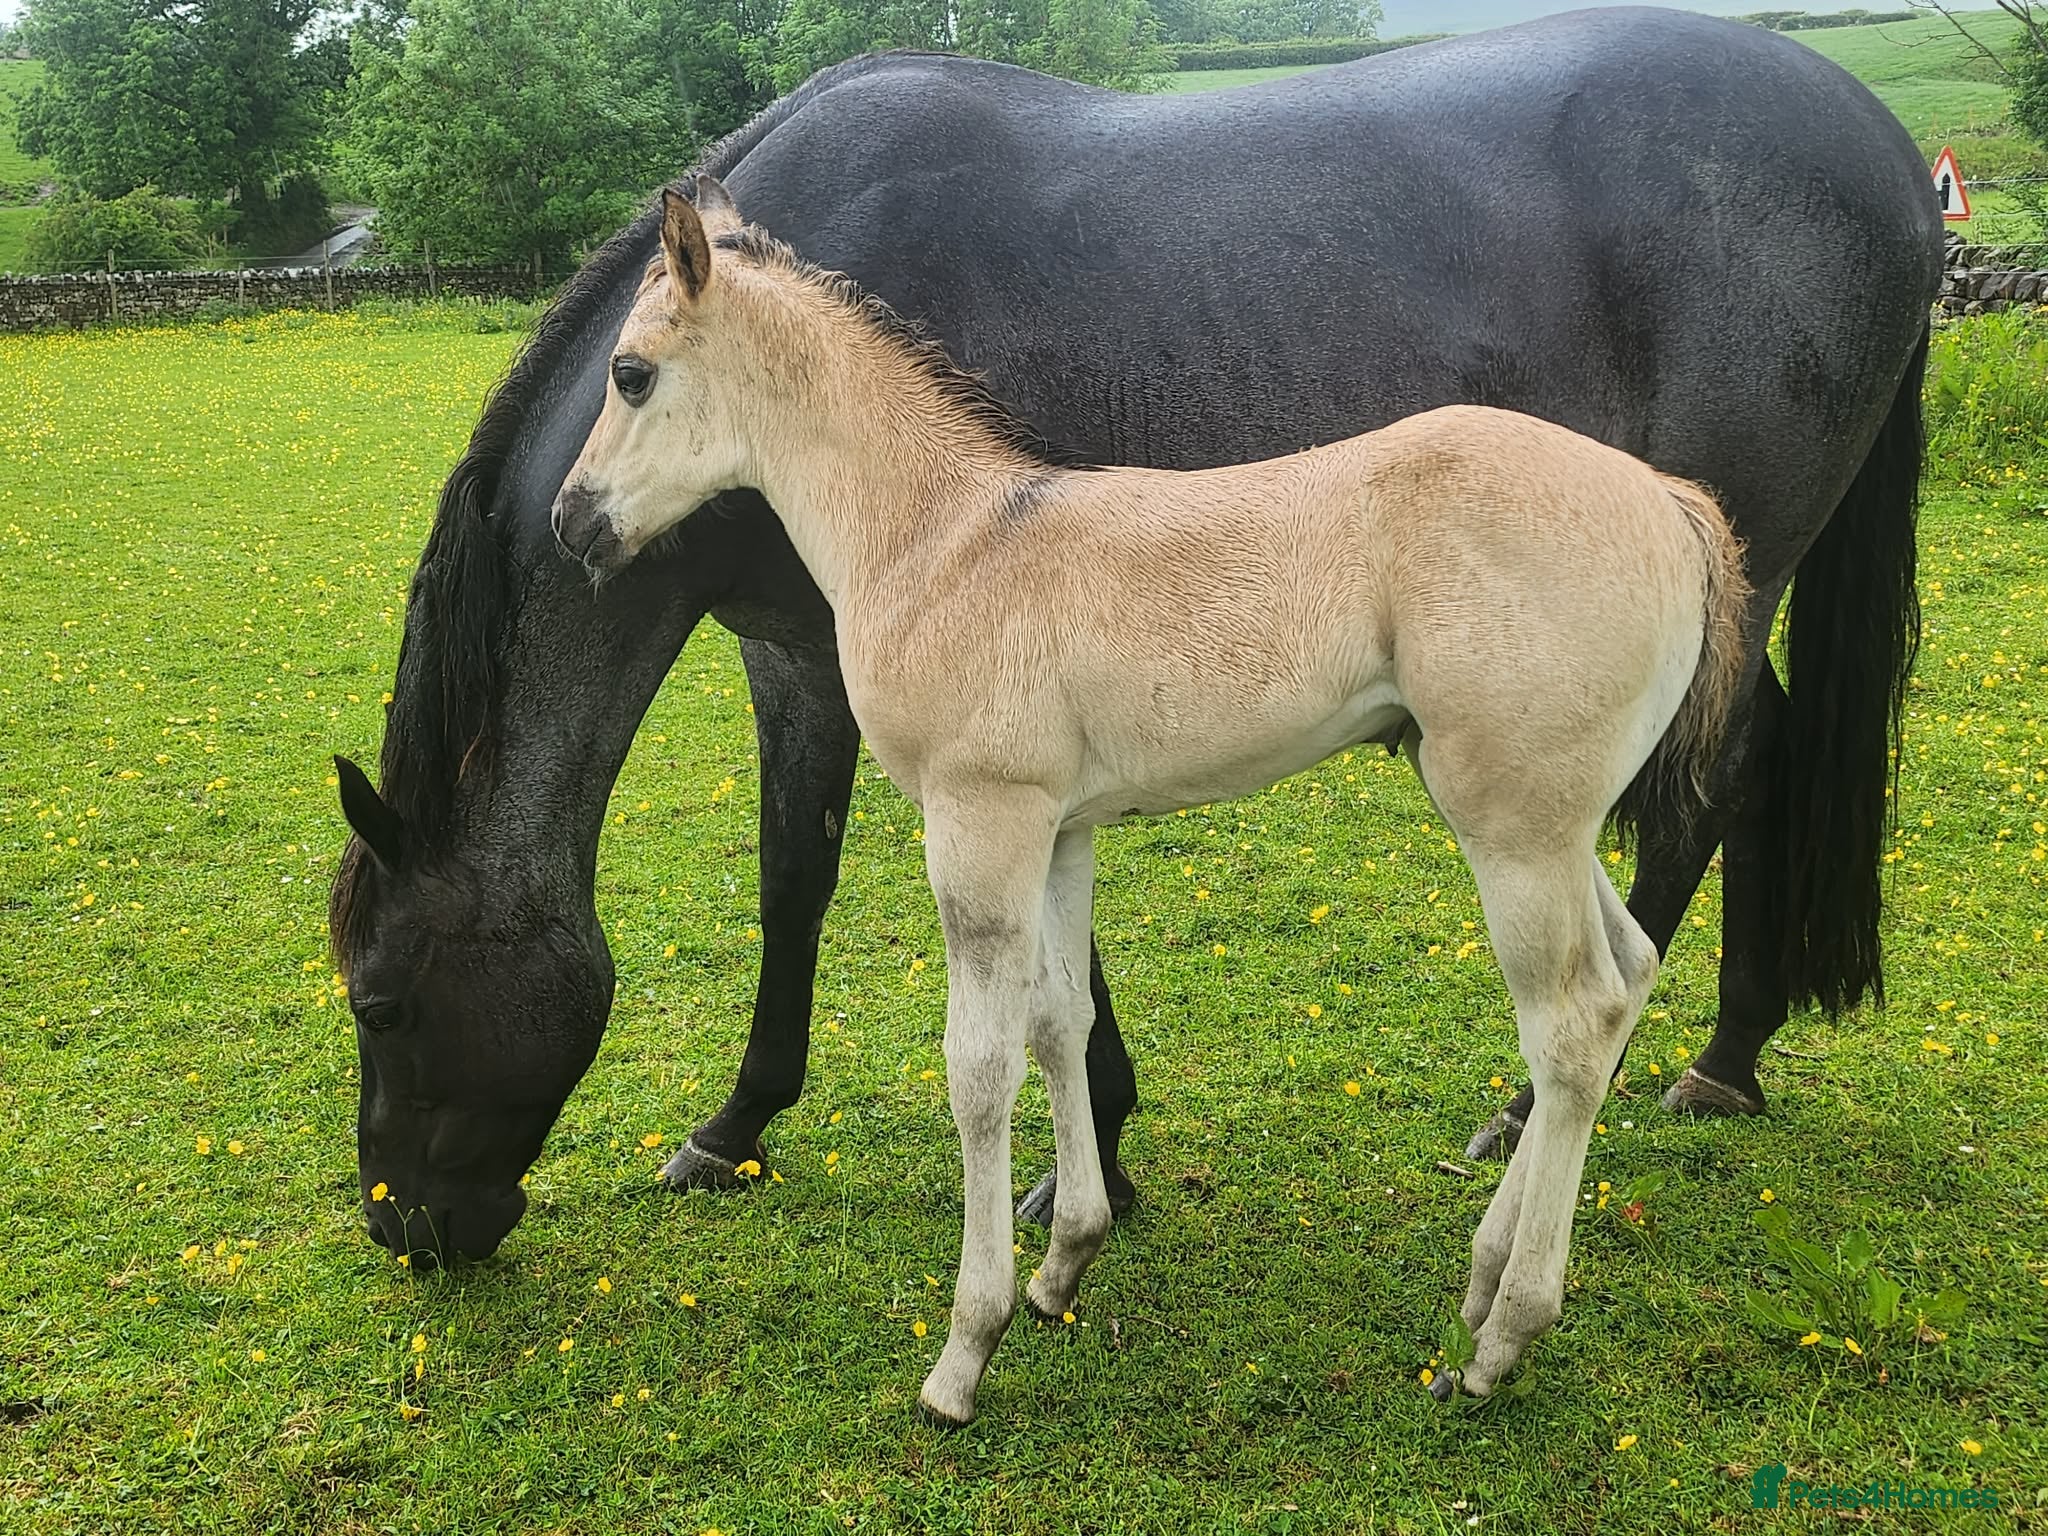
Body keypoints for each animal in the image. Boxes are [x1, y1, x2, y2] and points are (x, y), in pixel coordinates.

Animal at [330, 8, 1939, 1267]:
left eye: (384, 999)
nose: (408, 1230)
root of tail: (1886, 156)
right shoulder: (808, 659)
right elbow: (802, 879)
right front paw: (747, 1129)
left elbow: (940, 924)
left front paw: (1064, 1153)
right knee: (1752, 763)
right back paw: (1728, 1055)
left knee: (1697, 803)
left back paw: (1539, 1101)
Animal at [549, 179, 1752, 1419]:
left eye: (629, 372)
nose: (570, 523)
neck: (941, 542)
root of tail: (1668, 502)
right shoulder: (1059, 829)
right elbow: (1059, 1022)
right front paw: (1062, 1263)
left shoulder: (978, 821)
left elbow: (977, 1069)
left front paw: (965, 1349)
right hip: (1549, 827)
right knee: (1623, 980)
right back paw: (1480, 1283)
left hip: (1512, 830)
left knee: (1568, 1025)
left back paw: (1502, 1331)